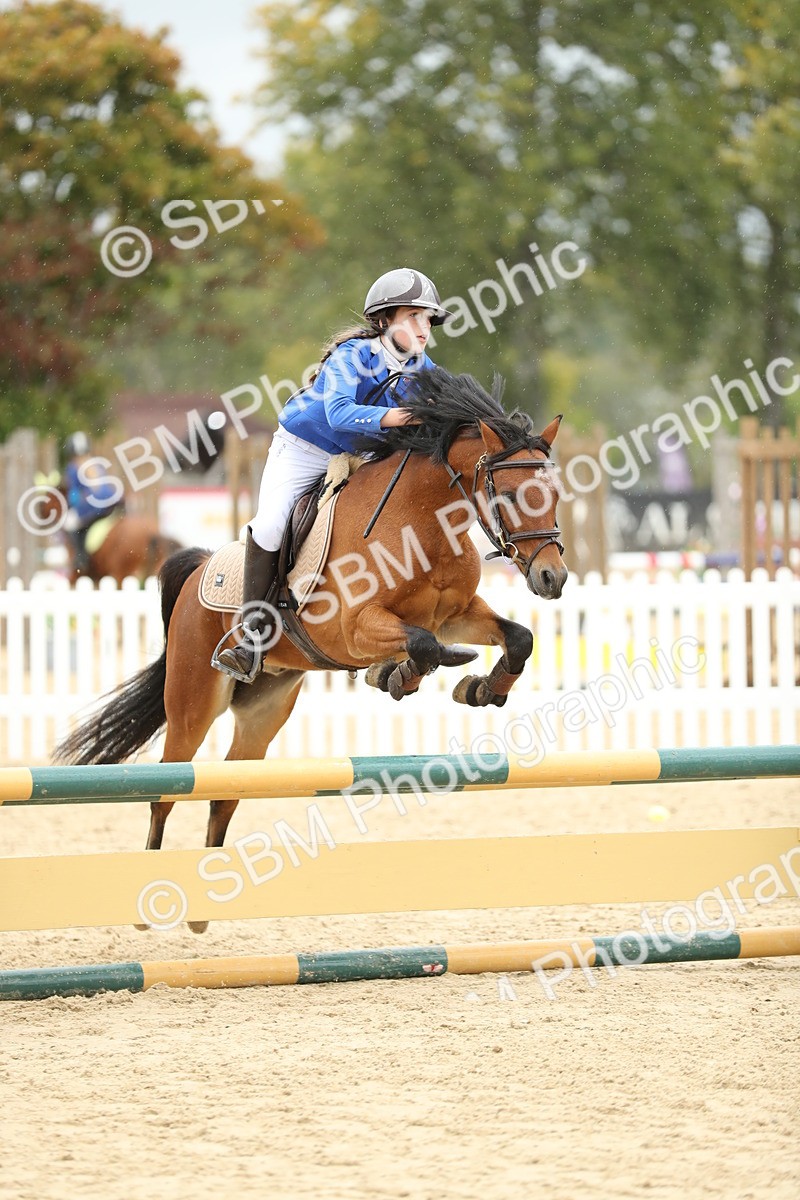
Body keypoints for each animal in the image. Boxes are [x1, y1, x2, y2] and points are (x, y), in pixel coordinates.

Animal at [54, 368, 568, 932]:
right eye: (514, 495)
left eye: (555, 494)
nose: (553, 577)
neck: (422, 520)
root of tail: (196, 571)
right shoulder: (355, 627)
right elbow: (424, 644)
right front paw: (396, 674)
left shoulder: (457, 614)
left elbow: (514, 638)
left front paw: (480, 688)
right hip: (192, 705)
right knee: (169, 788)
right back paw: (148, 900)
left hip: (266, 709)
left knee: (226, 791)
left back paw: (203, 910)